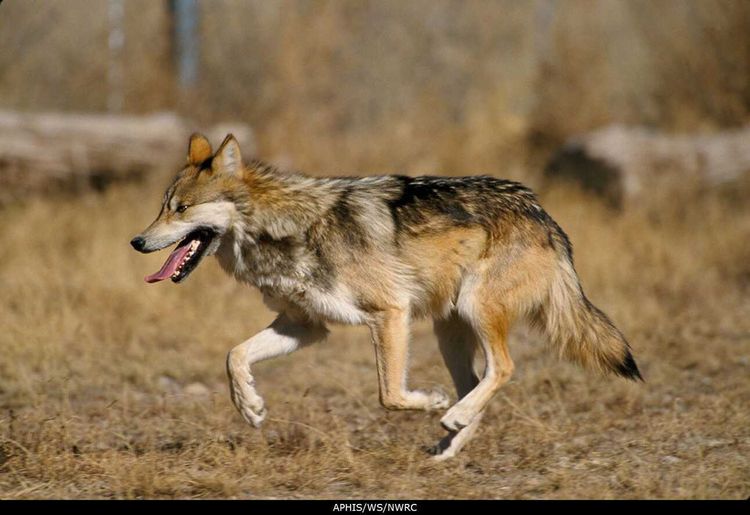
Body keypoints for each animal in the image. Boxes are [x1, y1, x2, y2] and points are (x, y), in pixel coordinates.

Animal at [131, 133, 642, 460]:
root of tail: (542, 213)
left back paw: (450, 415)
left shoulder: (389, 313)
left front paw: (430, 402)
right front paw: (251, 408)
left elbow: (390, 395)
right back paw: (449, 443)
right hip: (449, 332)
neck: (285, 228)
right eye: (162, 207)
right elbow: (234, 356)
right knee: (478, 382)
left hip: (474, 311)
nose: (136, 241)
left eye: (181, 209)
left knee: (503, 369)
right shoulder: (305, 326)